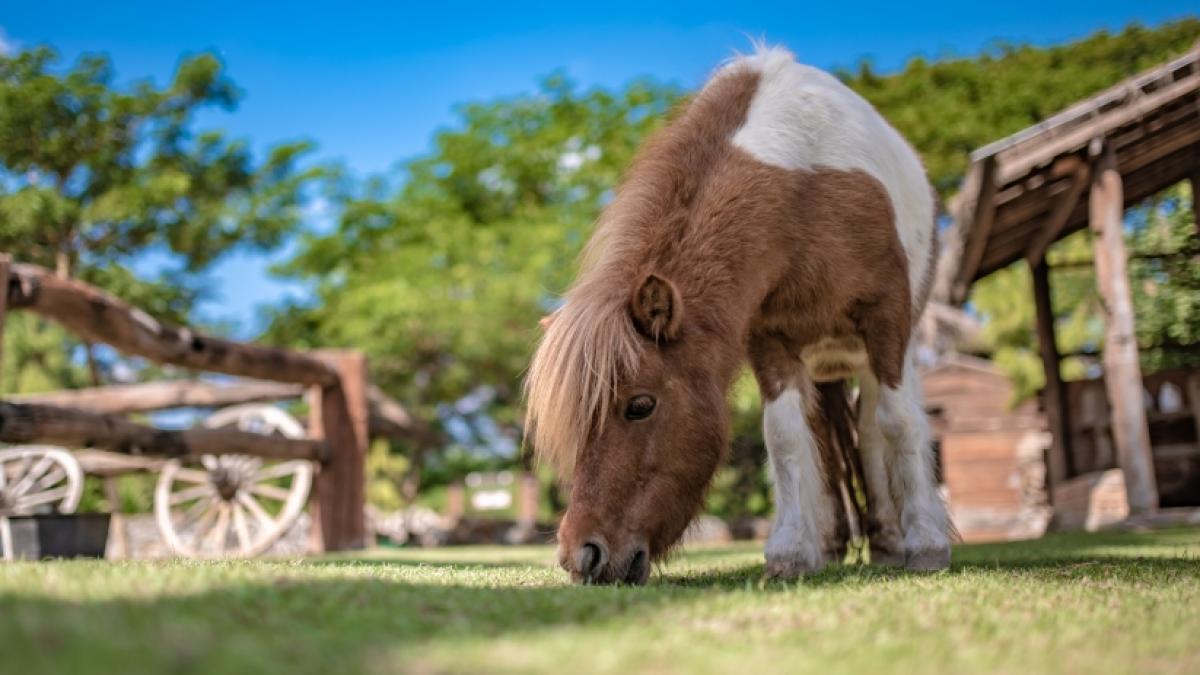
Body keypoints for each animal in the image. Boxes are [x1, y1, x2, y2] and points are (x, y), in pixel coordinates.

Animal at [525, 45, 951, 585]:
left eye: (640, 405)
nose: (583, 554)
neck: (804, 197)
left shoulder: (886, 321)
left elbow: (897, 424)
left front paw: (926, 544)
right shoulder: (770, 340)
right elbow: (786, 437)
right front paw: (793, 551)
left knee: (876, 424)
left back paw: (890, 540)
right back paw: (832, 542)